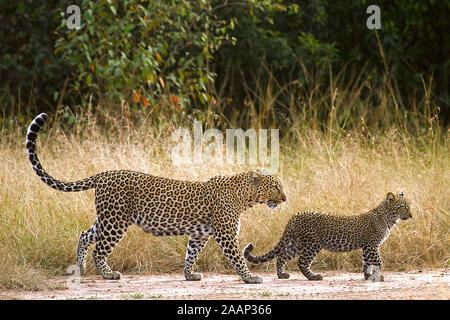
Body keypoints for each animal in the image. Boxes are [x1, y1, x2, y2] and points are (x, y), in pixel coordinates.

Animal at [25, 114, 284, 284]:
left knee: (84, 235)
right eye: (276, 186)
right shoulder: (226, 234)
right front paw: (251, 277)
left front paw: (189, 274)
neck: (244, 197)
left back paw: (80, 267)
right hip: (116, 222)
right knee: (99, 248)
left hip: (107, 218)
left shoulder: (200, 234)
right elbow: (237, 257)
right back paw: (108, 274)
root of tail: (105, 174)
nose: (284, 197)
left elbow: (191, 254)